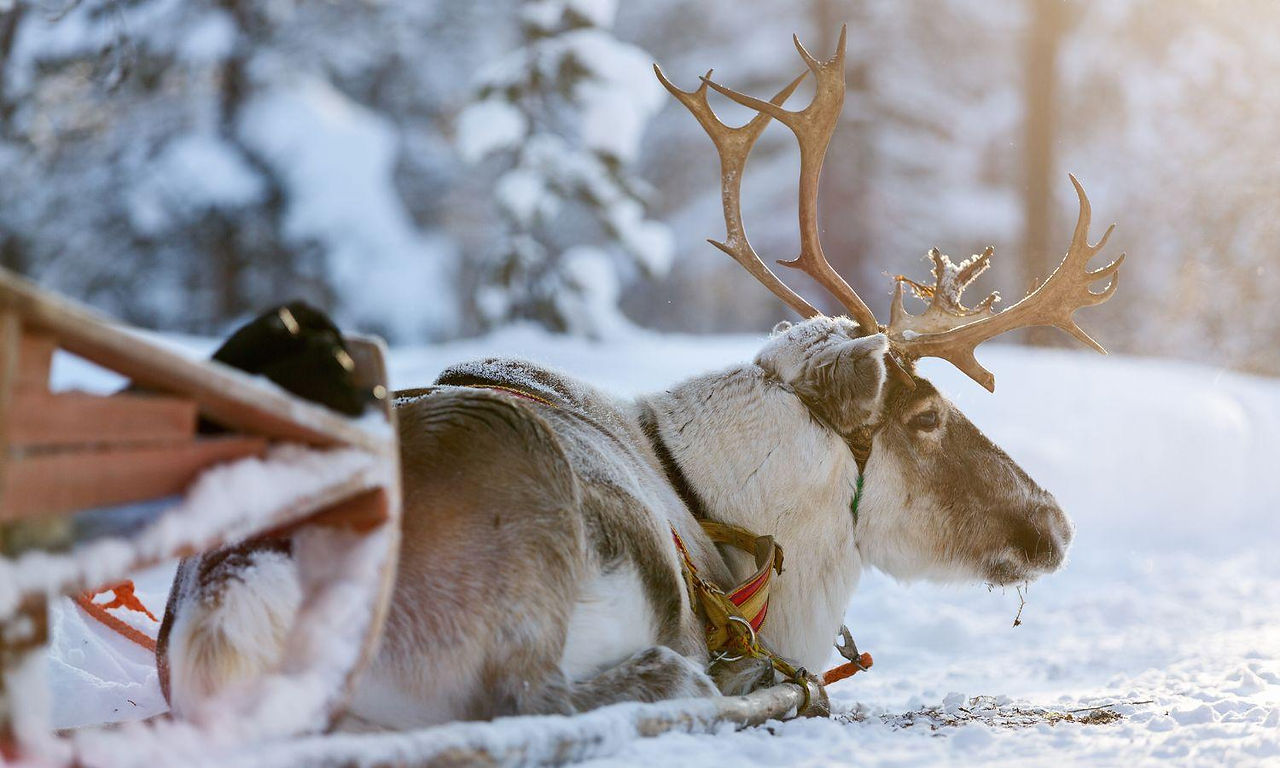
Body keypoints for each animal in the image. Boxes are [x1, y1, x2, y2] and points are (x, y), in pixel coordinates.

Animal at [156, 27, 1123, 730]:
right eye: (925, 416)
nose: (1058, 524)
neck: (715, 499)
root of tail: (242, 576)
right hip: (523, 502)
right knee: (537, 697)